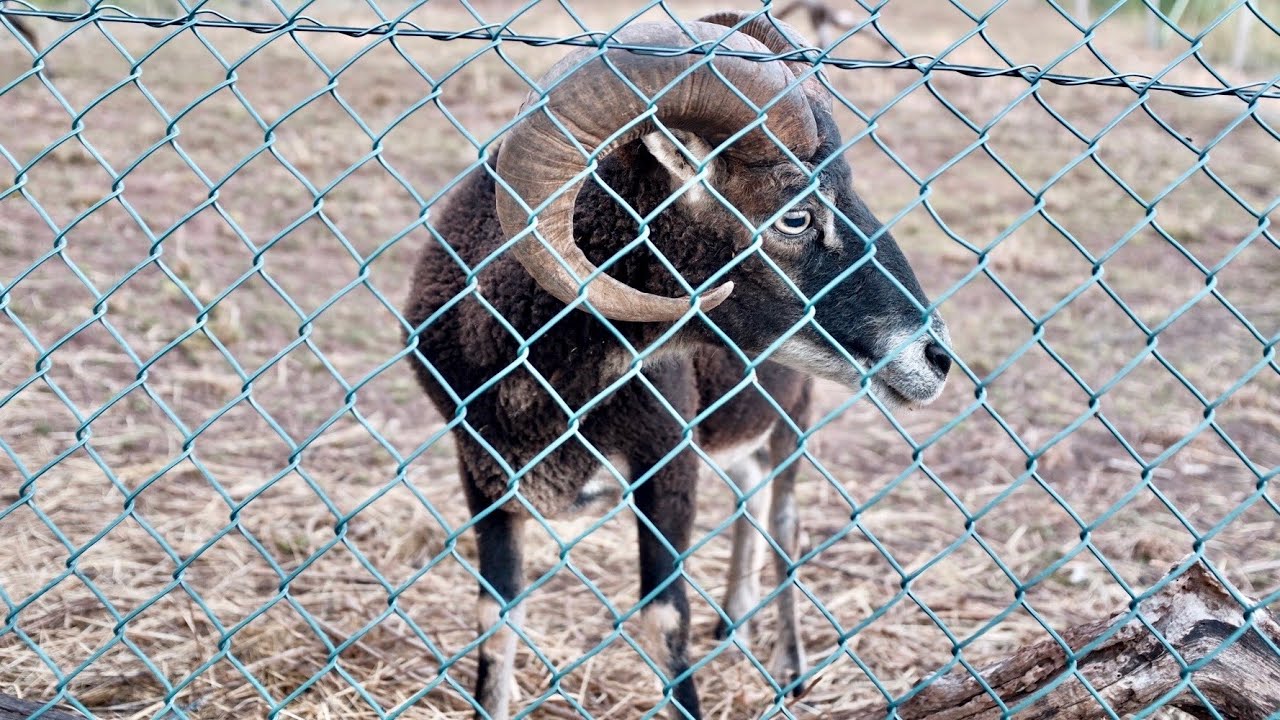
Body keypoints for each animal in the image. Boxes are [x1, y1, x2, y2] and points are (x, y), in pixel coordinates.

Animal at [402, 11, 952, 719]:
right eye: (796, 215)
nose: (935, 356)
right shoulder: (481, 472)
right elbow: (495, 616)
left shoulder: (667, 462)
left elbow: (665, 616)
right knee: (750, 491)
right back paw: (735, 623)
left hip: (791, 417)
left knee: (784, 521)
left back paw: (790, 669)